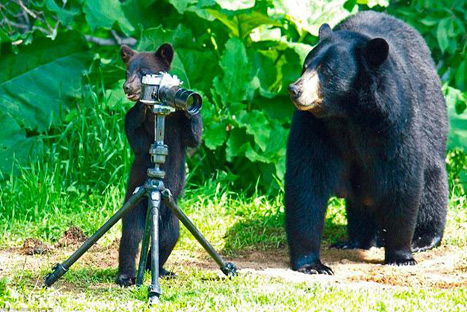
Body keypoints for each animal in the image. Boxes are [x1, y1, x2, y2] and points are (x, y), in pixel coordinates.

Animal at [116, 43, 202, 286]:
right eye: (127, 72)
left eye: (143, 72)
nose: (127, 87)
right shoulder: (136, 129)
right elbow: (138, 141)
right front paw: (141, 108)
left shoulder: (180, 131)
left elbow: (194, 137)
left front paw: (188, 106)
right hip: (135, 205)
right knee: (131, 237)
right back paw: (126, 275)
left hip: (171, 218)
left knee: (168, 239)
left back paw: (159, 270)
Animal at [286, 11, 450, 276]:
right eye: (305, 65)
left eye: (326, 71)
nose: (295, 89)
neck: (348, 114)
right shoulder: (313, 127)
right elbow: (306, 180)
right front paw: (312, 265)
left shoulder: (394, 118)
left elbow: (402, 179)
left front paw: (400, 256)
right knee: (359, 200)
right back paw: (355, 240)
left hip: (432, 112)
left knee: (432, 178)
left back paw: (424, 238)